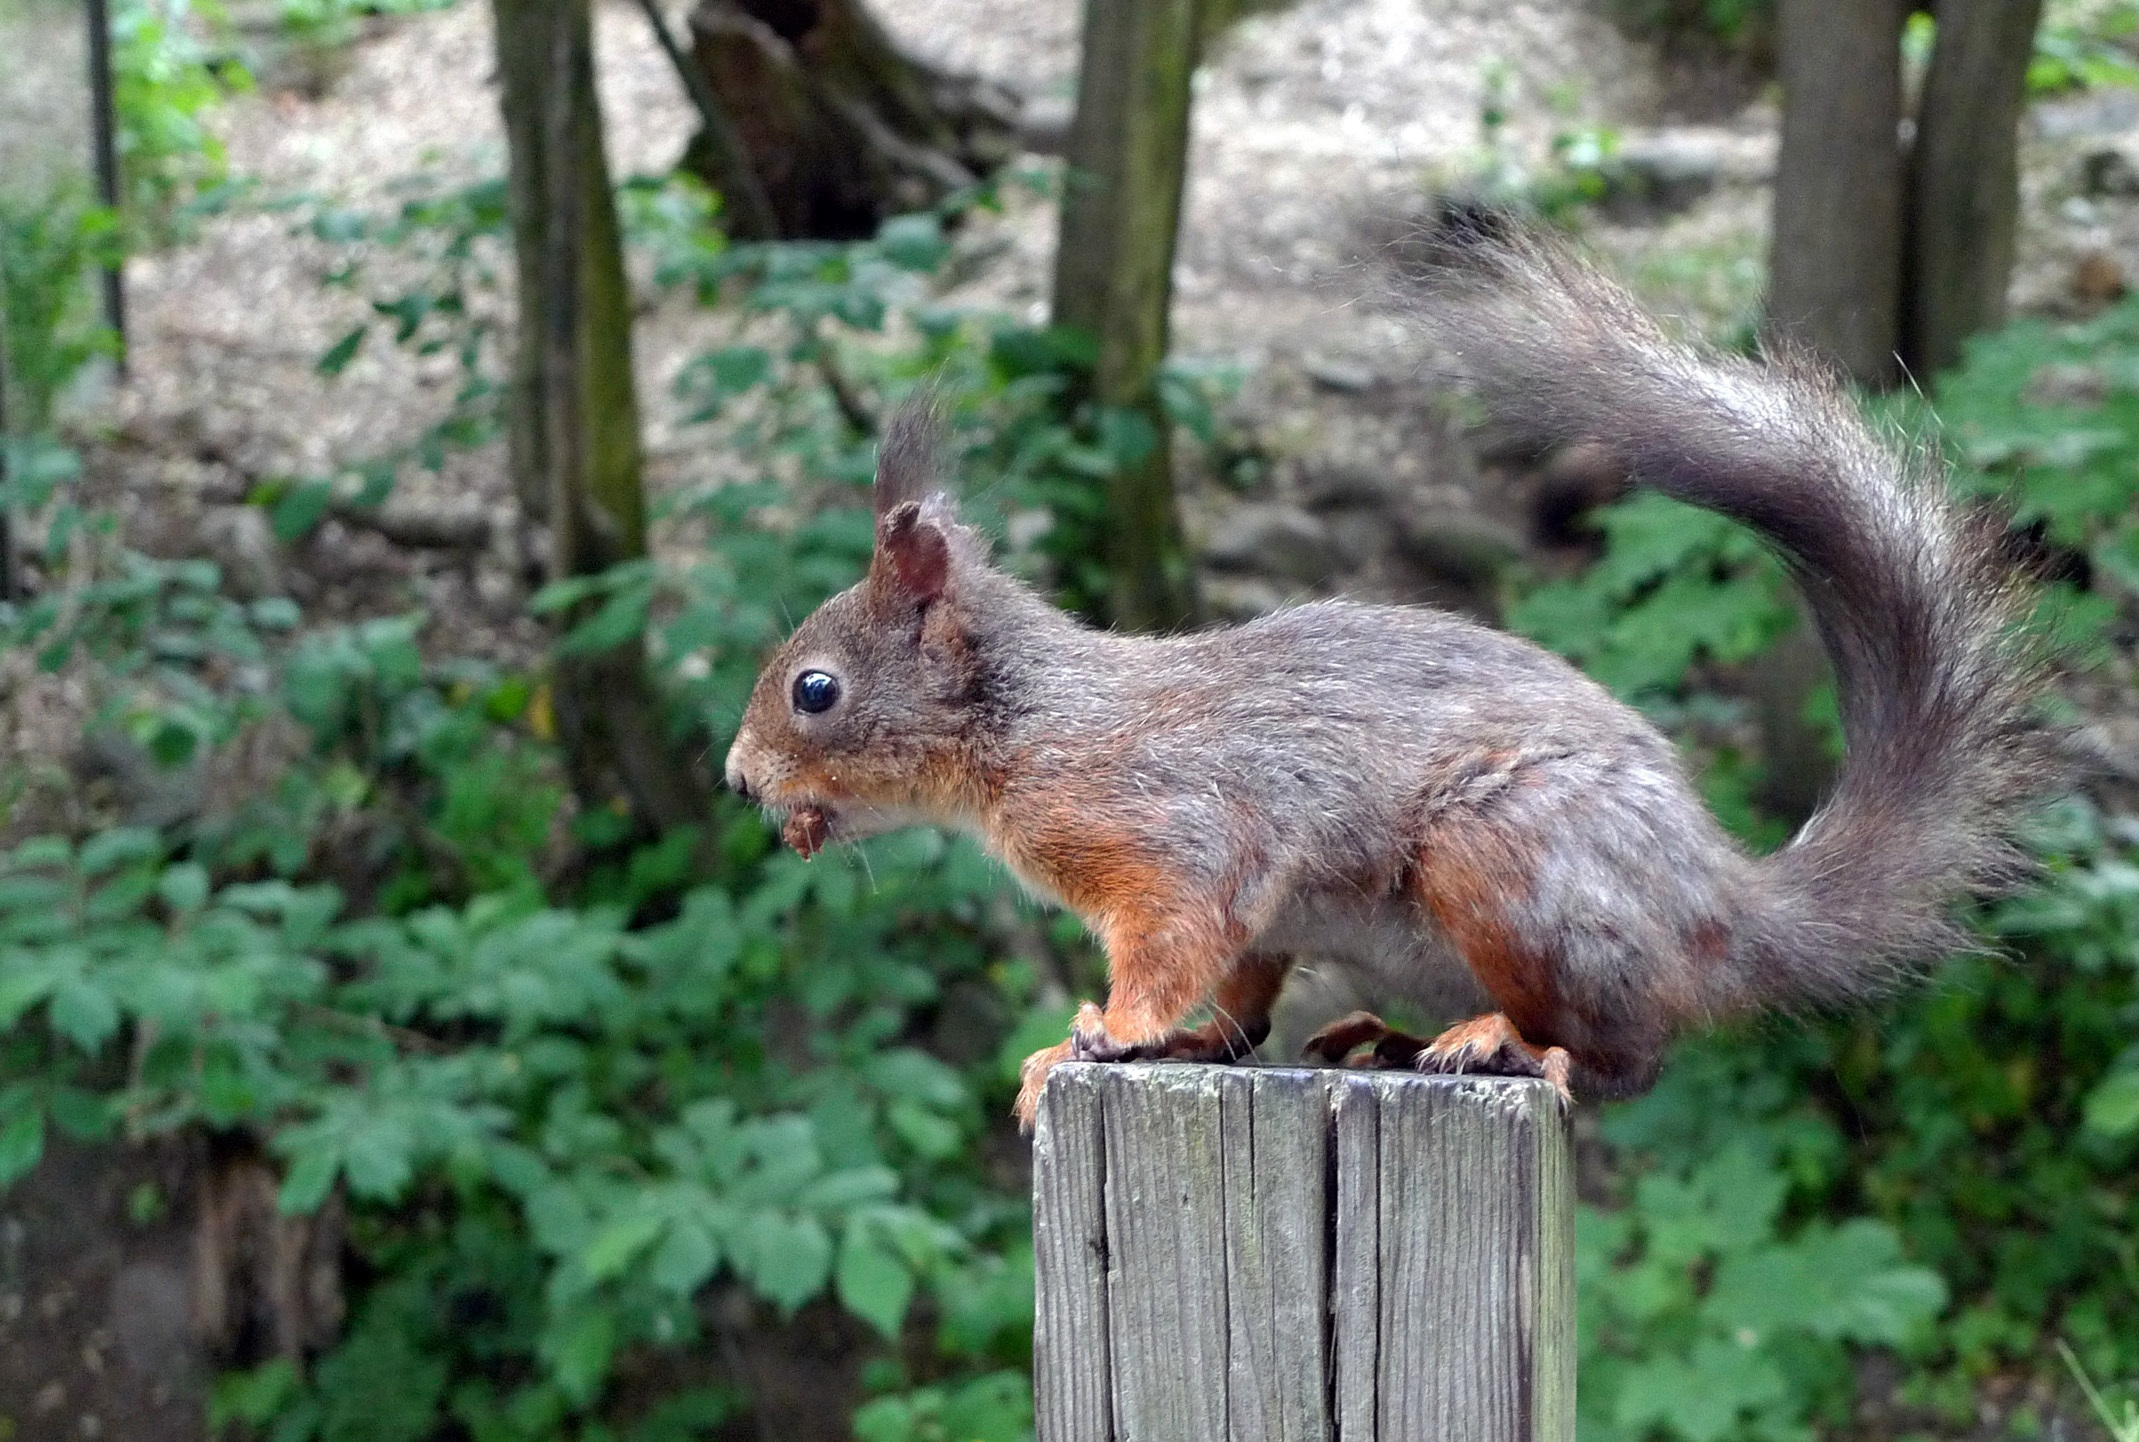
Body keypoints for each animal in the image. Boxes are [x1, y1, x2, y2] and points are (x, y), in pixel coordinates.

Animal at [727, 224, 2061, 1129]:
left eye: (814, 688)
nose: (737, 778)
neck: (1031, 724)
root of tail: (1723, 908)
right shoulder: (1257, 913)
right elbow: (1240, 990)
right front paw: (1184, 1041)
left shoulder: (1175, 829)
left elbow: (1173, 939)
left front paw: (1099, 1036)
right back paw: (1389, 1035)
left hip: (1508, 854)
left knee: (1625, 1056)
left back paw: (1502, 1045)